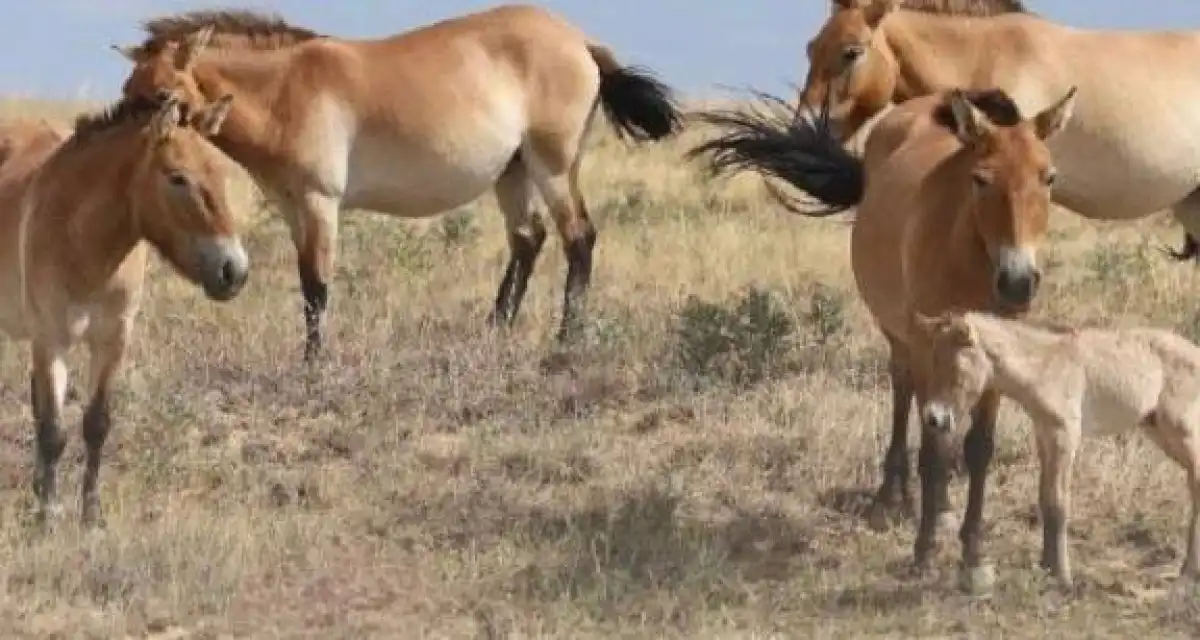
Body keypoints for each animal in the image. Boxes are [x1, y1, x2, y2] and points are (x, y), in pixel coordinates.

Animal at [0, 92, 249, 526]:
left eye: (220, 172)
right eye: (177, 178)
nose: (233, 270)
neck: (84, 245)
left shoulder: (113, 340)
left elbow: (95, 424)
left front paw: (89, 516)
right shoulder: (52, 340)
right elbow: (54, 432)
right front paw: (48, 517)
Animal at [111, 5, 685, 361]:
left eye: (162, 96)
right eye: (128, 93)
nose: (125, 160)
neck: (284, 90)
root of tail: (580, 41)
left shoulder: (320, 203)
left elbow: (317, 285)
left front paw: (314, 365)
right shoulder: (294, 207)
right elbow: (306, 285)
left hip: (553, 166)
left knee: (577, 238)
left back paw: (566, 339)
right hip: (513, 172)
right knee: (529, 240)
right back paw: (495, 330)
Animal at [688, 85, 1075, 592]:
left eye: (1049, 178)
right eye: (980, 179)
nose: (1017, 282)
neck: (968, 259)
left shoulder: (993, 360)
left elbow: (978, 450)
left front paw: (973, 554)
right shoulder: (928, 347)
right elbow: (933, 450)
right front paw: (925, 552)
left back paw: (938, 507)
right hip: (902, 341)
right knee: (903, 394)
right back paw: (892, 498)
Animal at [917, 310, 1200, 590]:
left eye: (956, 368)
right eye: (932, 361)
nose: (934, 418)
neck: (1042, 367)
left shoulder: (1064, 437)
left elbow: (1058, 503)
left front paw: (1063, 578)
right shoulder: (1044, 436)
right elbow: (1045, 500)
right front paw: (1046, 567)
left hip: (1181, 431)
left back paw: (1187, 574)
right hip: (1160, 432)